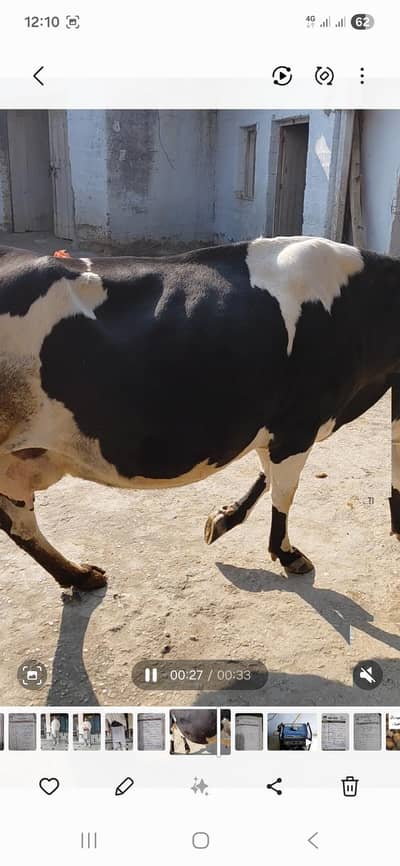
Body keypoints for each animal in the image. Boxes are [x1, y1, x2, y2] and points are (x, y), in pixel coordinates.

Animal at [0, 235, 399, 593]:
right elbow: (283, 491)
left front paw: (225, 518)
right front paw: (285, 553)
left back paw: (79, 577)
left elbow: (266, 476)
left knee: (18, 521)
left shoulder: (276, 426)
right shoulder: (298, 425)